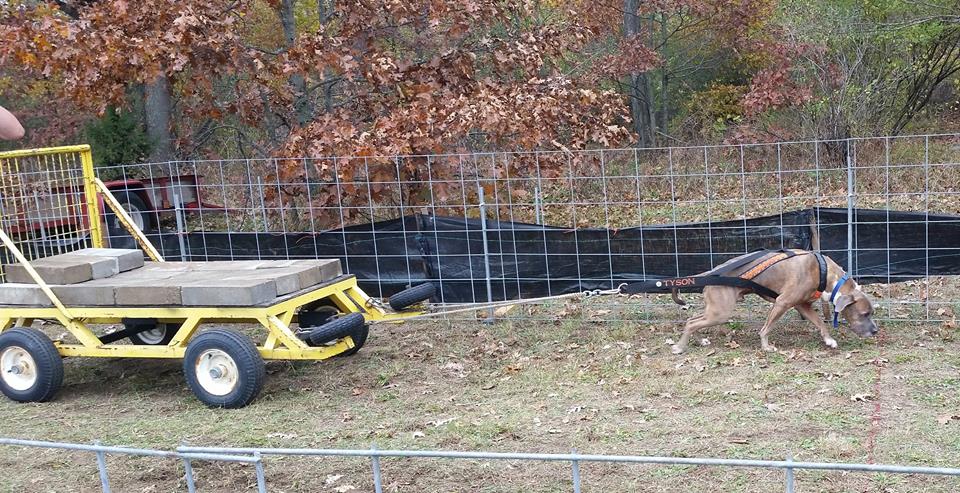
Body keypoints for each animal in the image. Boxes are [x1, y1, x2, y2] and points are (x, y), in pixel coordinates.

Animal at [668, 250, 876, 354]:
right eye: (864, 314)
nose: (875, 331)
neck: (825, 273)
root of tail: (710, 273)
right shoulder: (782, 303)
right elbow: (766, 329)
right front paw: (766, 347)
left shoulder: (803, 305)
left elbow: (819, 323)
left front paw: (829, 340)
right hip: (720, 312)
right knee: (692, 323)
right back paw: (679, 347)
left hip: (714, 310)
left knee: (691, 321)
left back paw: (699, 340)